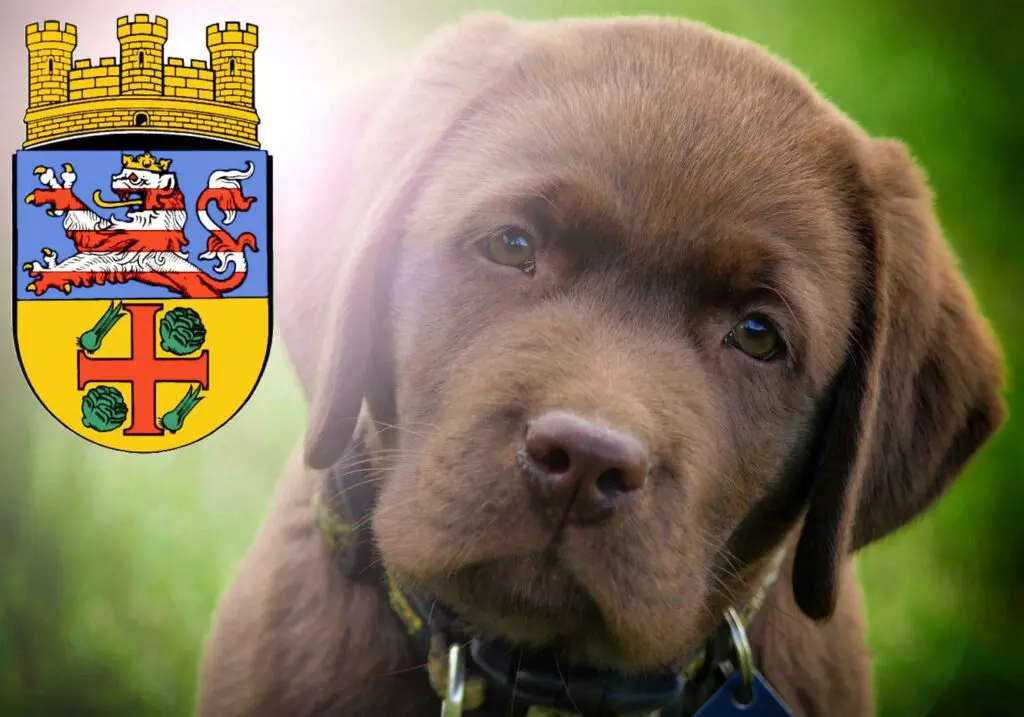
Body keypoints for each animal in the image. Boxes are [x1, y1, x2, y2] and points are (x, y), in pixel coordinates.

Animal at [23, 149, 258, 299]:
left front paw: (46, 277)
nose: (113, 179)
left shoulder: (120, 250)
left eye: (134, 177)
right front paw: (58, 191)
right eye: (121, 173)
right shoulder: (108, 239)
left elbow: (80, 262)